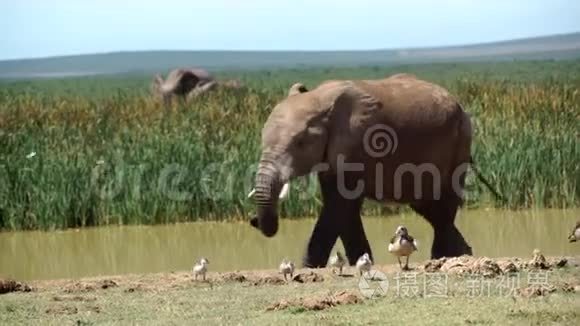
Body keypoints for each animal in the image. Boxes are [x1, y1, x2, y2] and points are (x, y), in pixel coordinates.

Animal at [247, 74, 500, 268]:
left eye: (299, 143)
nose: (253, 220)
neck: (320, 99)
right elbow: (342, 209)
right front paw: (359, 261)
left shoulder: (357, 145)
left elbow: (340, 205)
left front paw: (310, 267)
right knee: (430, 208)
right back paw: (461, 255)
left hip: (460, 143)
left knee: (443, 206)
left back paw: (443, 258)